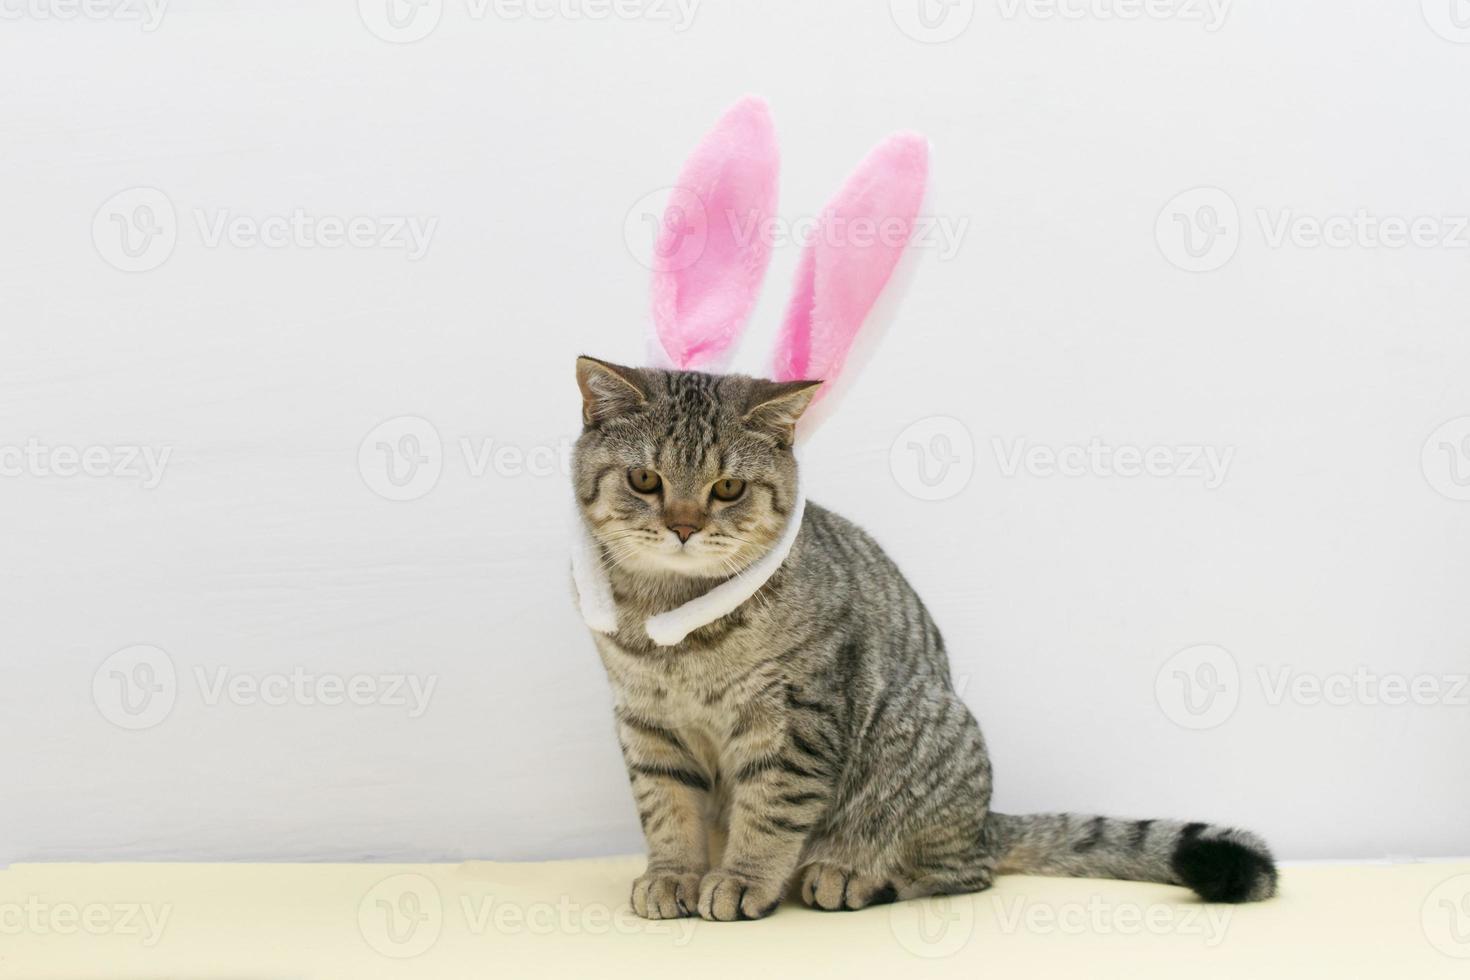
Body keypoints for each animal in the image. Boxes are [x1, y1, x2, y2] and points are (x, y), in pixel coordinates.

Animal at [573, 357, 1275, 922]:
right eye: (644, 481)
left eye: (728, 488)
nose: (684, 526)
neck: (673, 616)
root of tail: (985, 823)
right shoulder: (647, 723)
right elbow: (668, 810)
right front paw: (674, 877)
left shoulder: (796, 718)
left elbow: (769, 813)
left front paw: (743, 880)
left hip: (927, 730)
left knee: (961, 873)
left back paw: (850, 875)